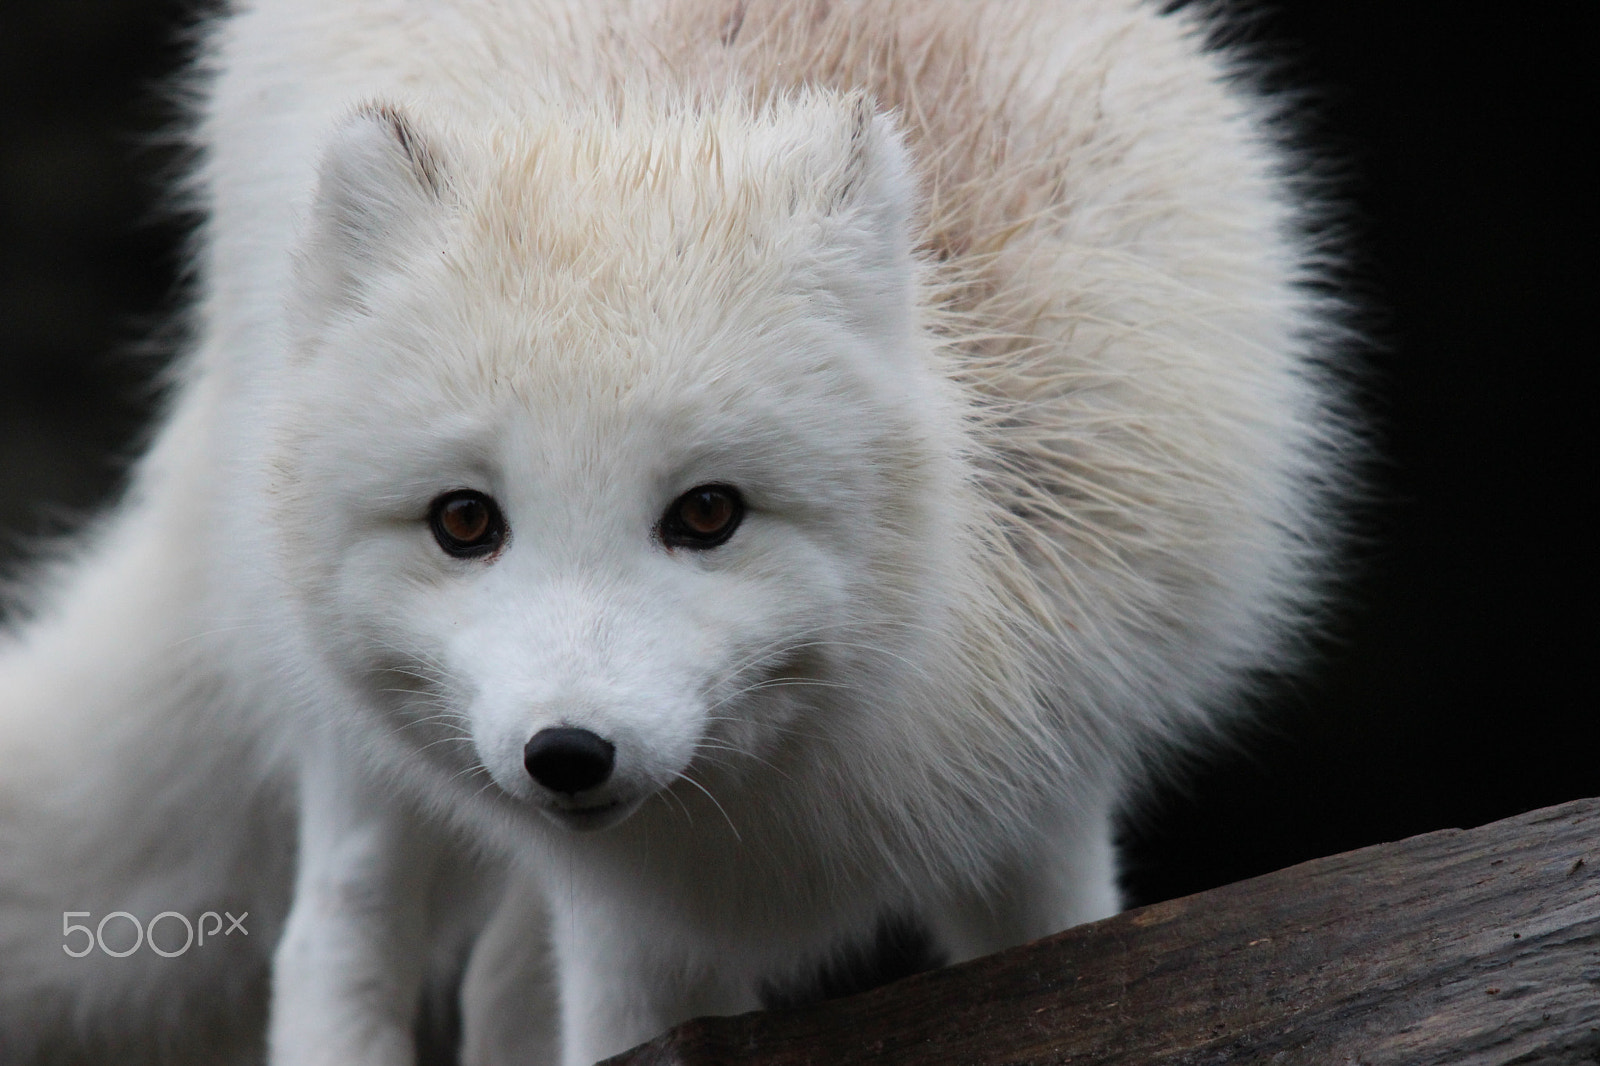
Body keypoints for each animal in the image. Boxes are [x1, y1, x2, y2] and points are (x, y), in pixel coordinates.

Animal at [0, 1, 1350, 1063]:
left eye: (707, 512)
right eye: (464, 522)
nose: (566, 753)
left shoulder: (1047, 794)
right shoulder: (634, 917)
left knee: (493, 987)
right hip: (352, 744)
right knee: (335, 935)